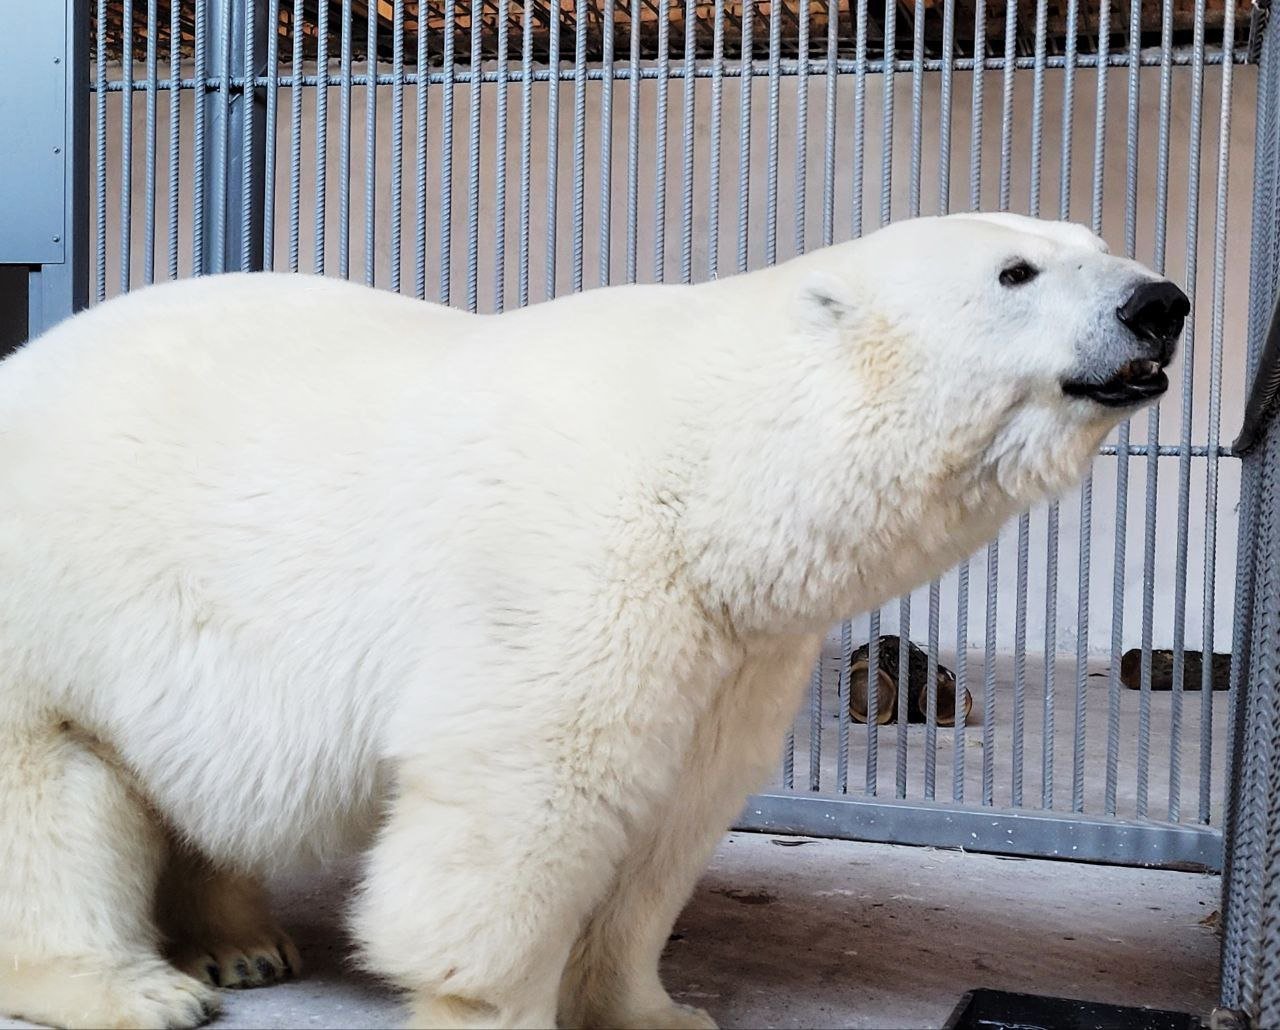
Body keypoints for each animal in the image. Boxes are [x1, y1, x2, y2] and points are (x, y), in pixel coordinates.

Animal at [0, 211, 1187, 1028]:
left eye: (1097, 242)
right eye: (1014, 271)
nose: (1161, 302)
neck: (713, 468)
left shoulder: (735, 646)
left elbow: (667, 826)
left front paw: (659, 1010)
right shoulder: (576, 572)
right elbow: (532, 798)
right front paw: (496, 1006)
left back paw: (242, 948)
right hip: (52, 598)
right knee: (48, 796)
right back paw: (136, 988)